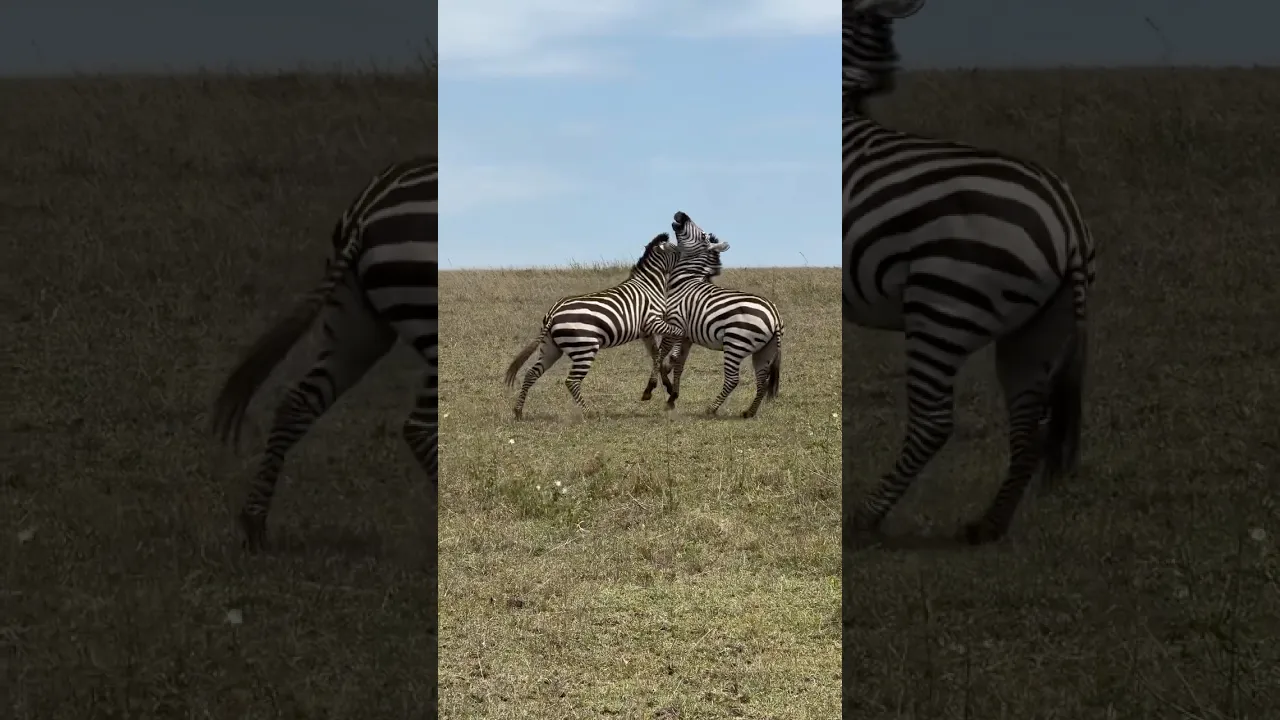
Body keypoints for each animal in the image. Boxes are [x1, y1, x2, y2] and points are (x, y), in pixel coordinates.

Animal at [504, 233, 686, 419]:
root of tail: (553, 312)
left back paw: (518, 411)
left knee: (531, 373)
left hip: (551, 348)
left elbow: (656, 355)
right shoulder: (653, 321)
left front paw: (659, 386)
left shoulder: (646, 332)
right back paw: (589, 413)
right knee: (571, 381)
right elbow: (677, 333)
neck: (650, 285)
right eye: (677, 250)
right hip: (584, 348)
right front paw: (673, 361)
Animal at [658, 211, 784, 419]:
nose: (681, 214)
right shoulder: (687, 337)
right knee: (762, 381)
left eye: (702, 235)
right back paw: (749, 412)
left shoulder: (674, 326)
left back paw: (711, 408)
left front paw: (666, 389)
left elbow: (663, 360)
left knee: (733, 379)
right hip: (765, 351)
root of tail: (774, 315)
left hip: (735, 343)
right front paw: (672, 398)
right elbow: (679, 365)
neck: (684, 283)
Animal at [843, 0, 1096, 545]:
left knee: (934, 422)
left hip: (946, 303)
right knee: (1029, 427)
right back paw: (988, 525)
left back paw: (866, 517)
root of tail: (1066, 220)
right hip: (1040, 328)